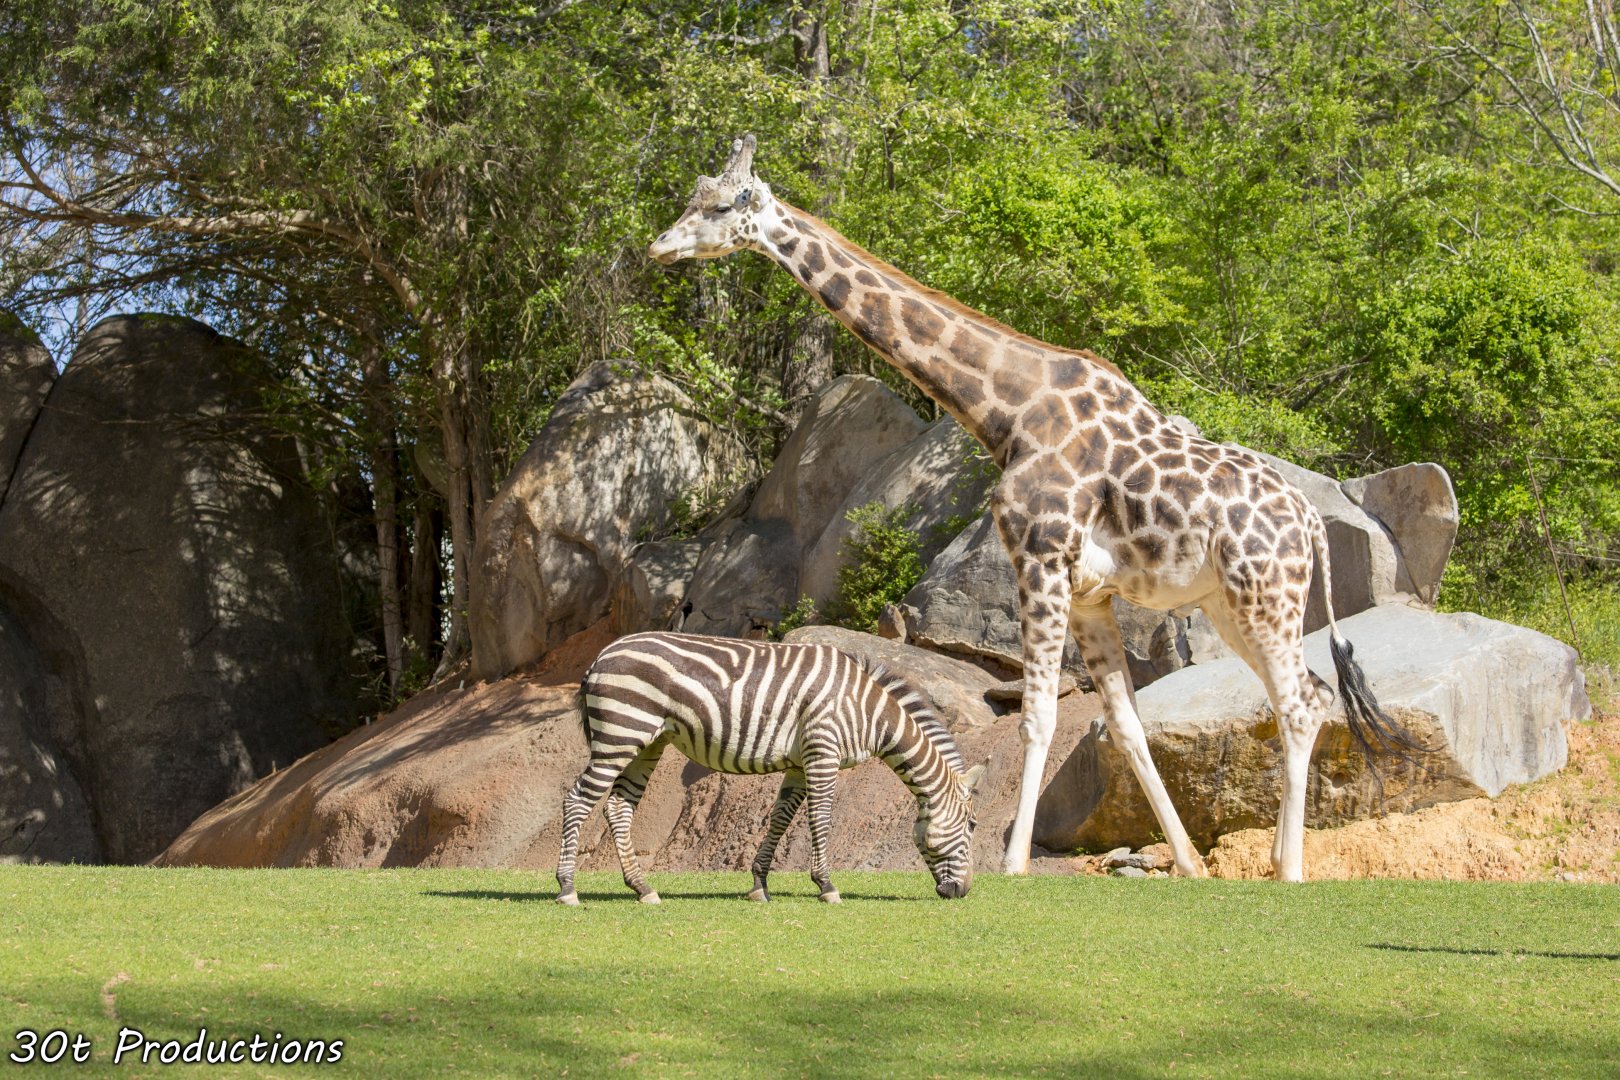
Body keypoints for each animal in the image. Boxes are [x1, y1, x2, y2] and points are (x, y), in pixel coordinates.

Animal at [556, 632, 986, 905]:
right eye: (972, 825)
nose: (963, 892)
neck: (868, 712)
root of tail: (600, 656)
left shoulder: (799, 762)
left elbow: (780, 817)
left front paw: (759, 884)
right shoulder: (823, 751)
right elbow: (820, 818)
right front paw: (826, 885)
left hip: (647, 743)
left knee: (618, 807)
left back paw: (642, 888)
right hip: (620, 734)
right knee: (577, 800)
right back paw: (567, 888)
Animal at [649, 135, 1426, 882]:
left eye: (725, 204)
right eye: (693, 194)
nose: (659, 247)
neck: (1009, 412)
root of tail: (1311, 524)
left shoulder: (1039, 557)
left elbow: (1039, 716)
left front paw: (1014, 861)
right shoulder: (1089, 594)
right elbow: (1124, 724)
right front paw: (1189, 863)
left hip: (1265, 595)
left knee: (1298, 703)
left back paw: (1290, 868)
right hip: (1232, 605)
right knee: (1311, 693)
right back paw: (1271, 858)